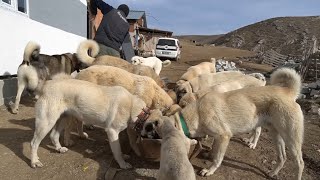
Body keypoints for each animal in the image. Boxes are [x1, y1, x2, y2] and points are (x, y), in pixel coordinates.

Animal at [144, 68, 304, 179]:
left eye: (151, 129)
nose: (141, 134)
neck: (196, 113)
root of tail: (287, 91)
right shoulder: (218, 137)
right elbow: (215, 149)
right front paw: (209, 154)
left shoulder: (224, 136)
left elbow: (218, 158)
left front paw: (209, 170)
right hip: (276, 134)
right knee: (282, 157)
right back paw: (272, 172)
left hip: (292, 139)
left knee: (299, 162)